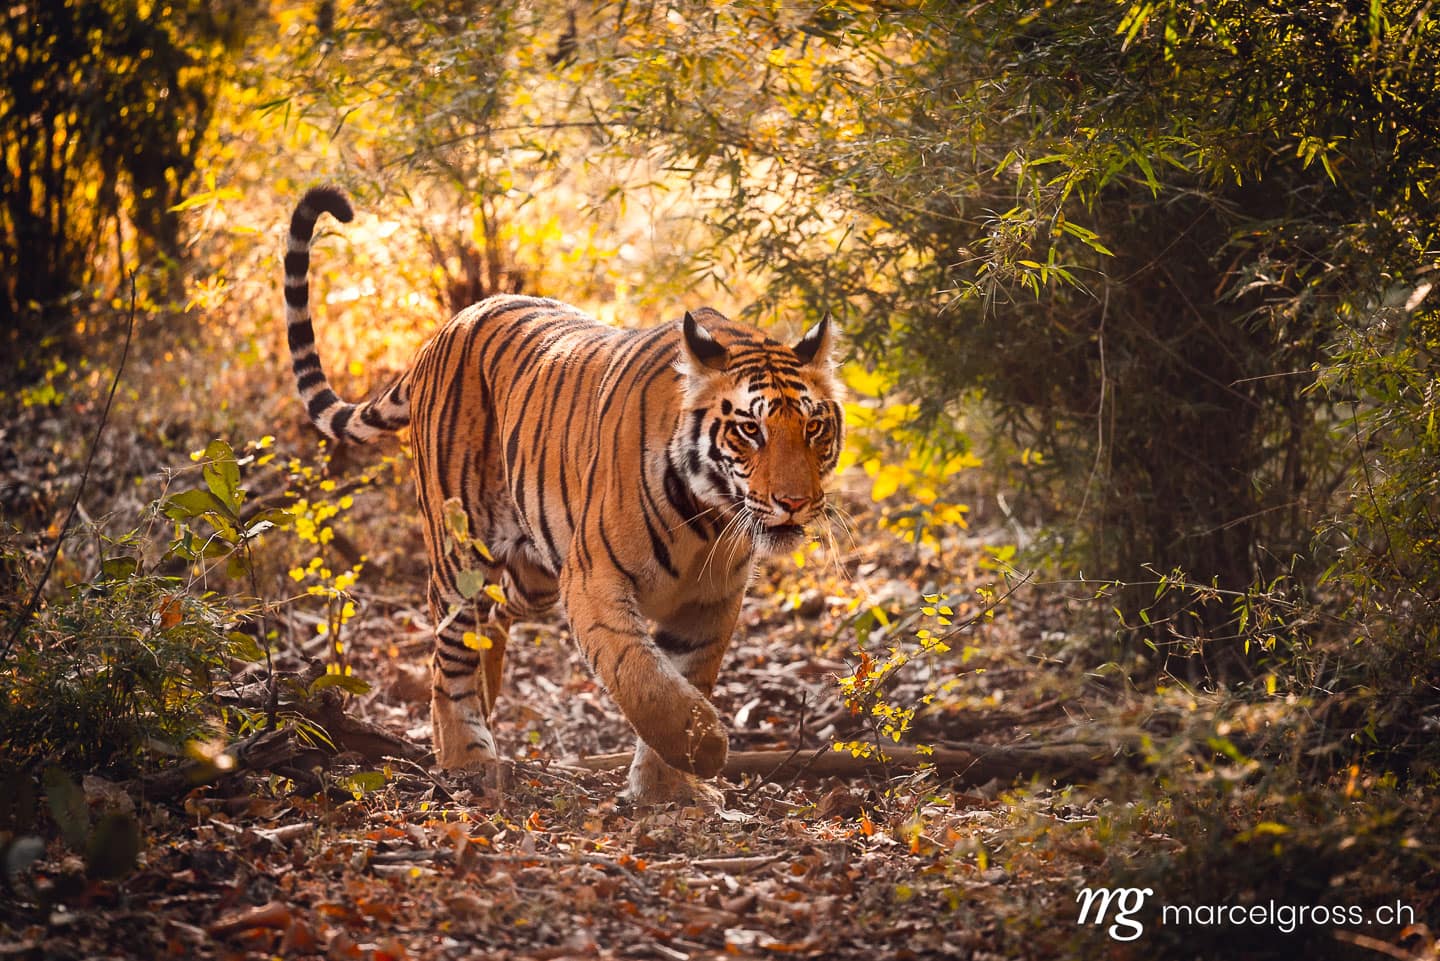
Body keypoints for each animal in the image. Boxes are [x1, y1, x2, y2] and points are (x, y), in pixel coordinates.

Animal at [282, 186, 844, 805]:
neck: (710, 518)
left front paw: (668, 786)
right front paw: (705, 750)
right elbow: (643, 678)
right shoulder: (594, 577)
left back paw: (488, 700)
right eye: (750, 430)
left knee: (491, 617)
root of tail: (443, 331)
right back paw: (465, 757)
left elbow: (687, 675)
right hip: (463, 550)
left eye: (814, 428)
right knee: (448, 652)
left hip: (533, 573)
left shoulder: (711, 600)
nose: (795, 501)